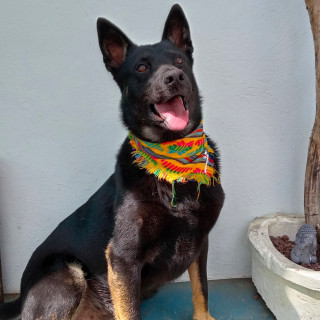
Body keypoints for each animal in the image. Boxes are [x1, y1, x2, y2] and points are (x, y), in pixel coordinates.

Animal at [0, 3, 224, 320]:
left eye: (180, 60)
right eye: (142, 68)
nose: (175, 77)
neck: (170, 164)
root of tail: (20, 298)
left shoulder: (199, 243)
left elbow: (201, 289)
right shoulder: (122, 258)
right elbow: (131, 310)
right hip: (66, 274)